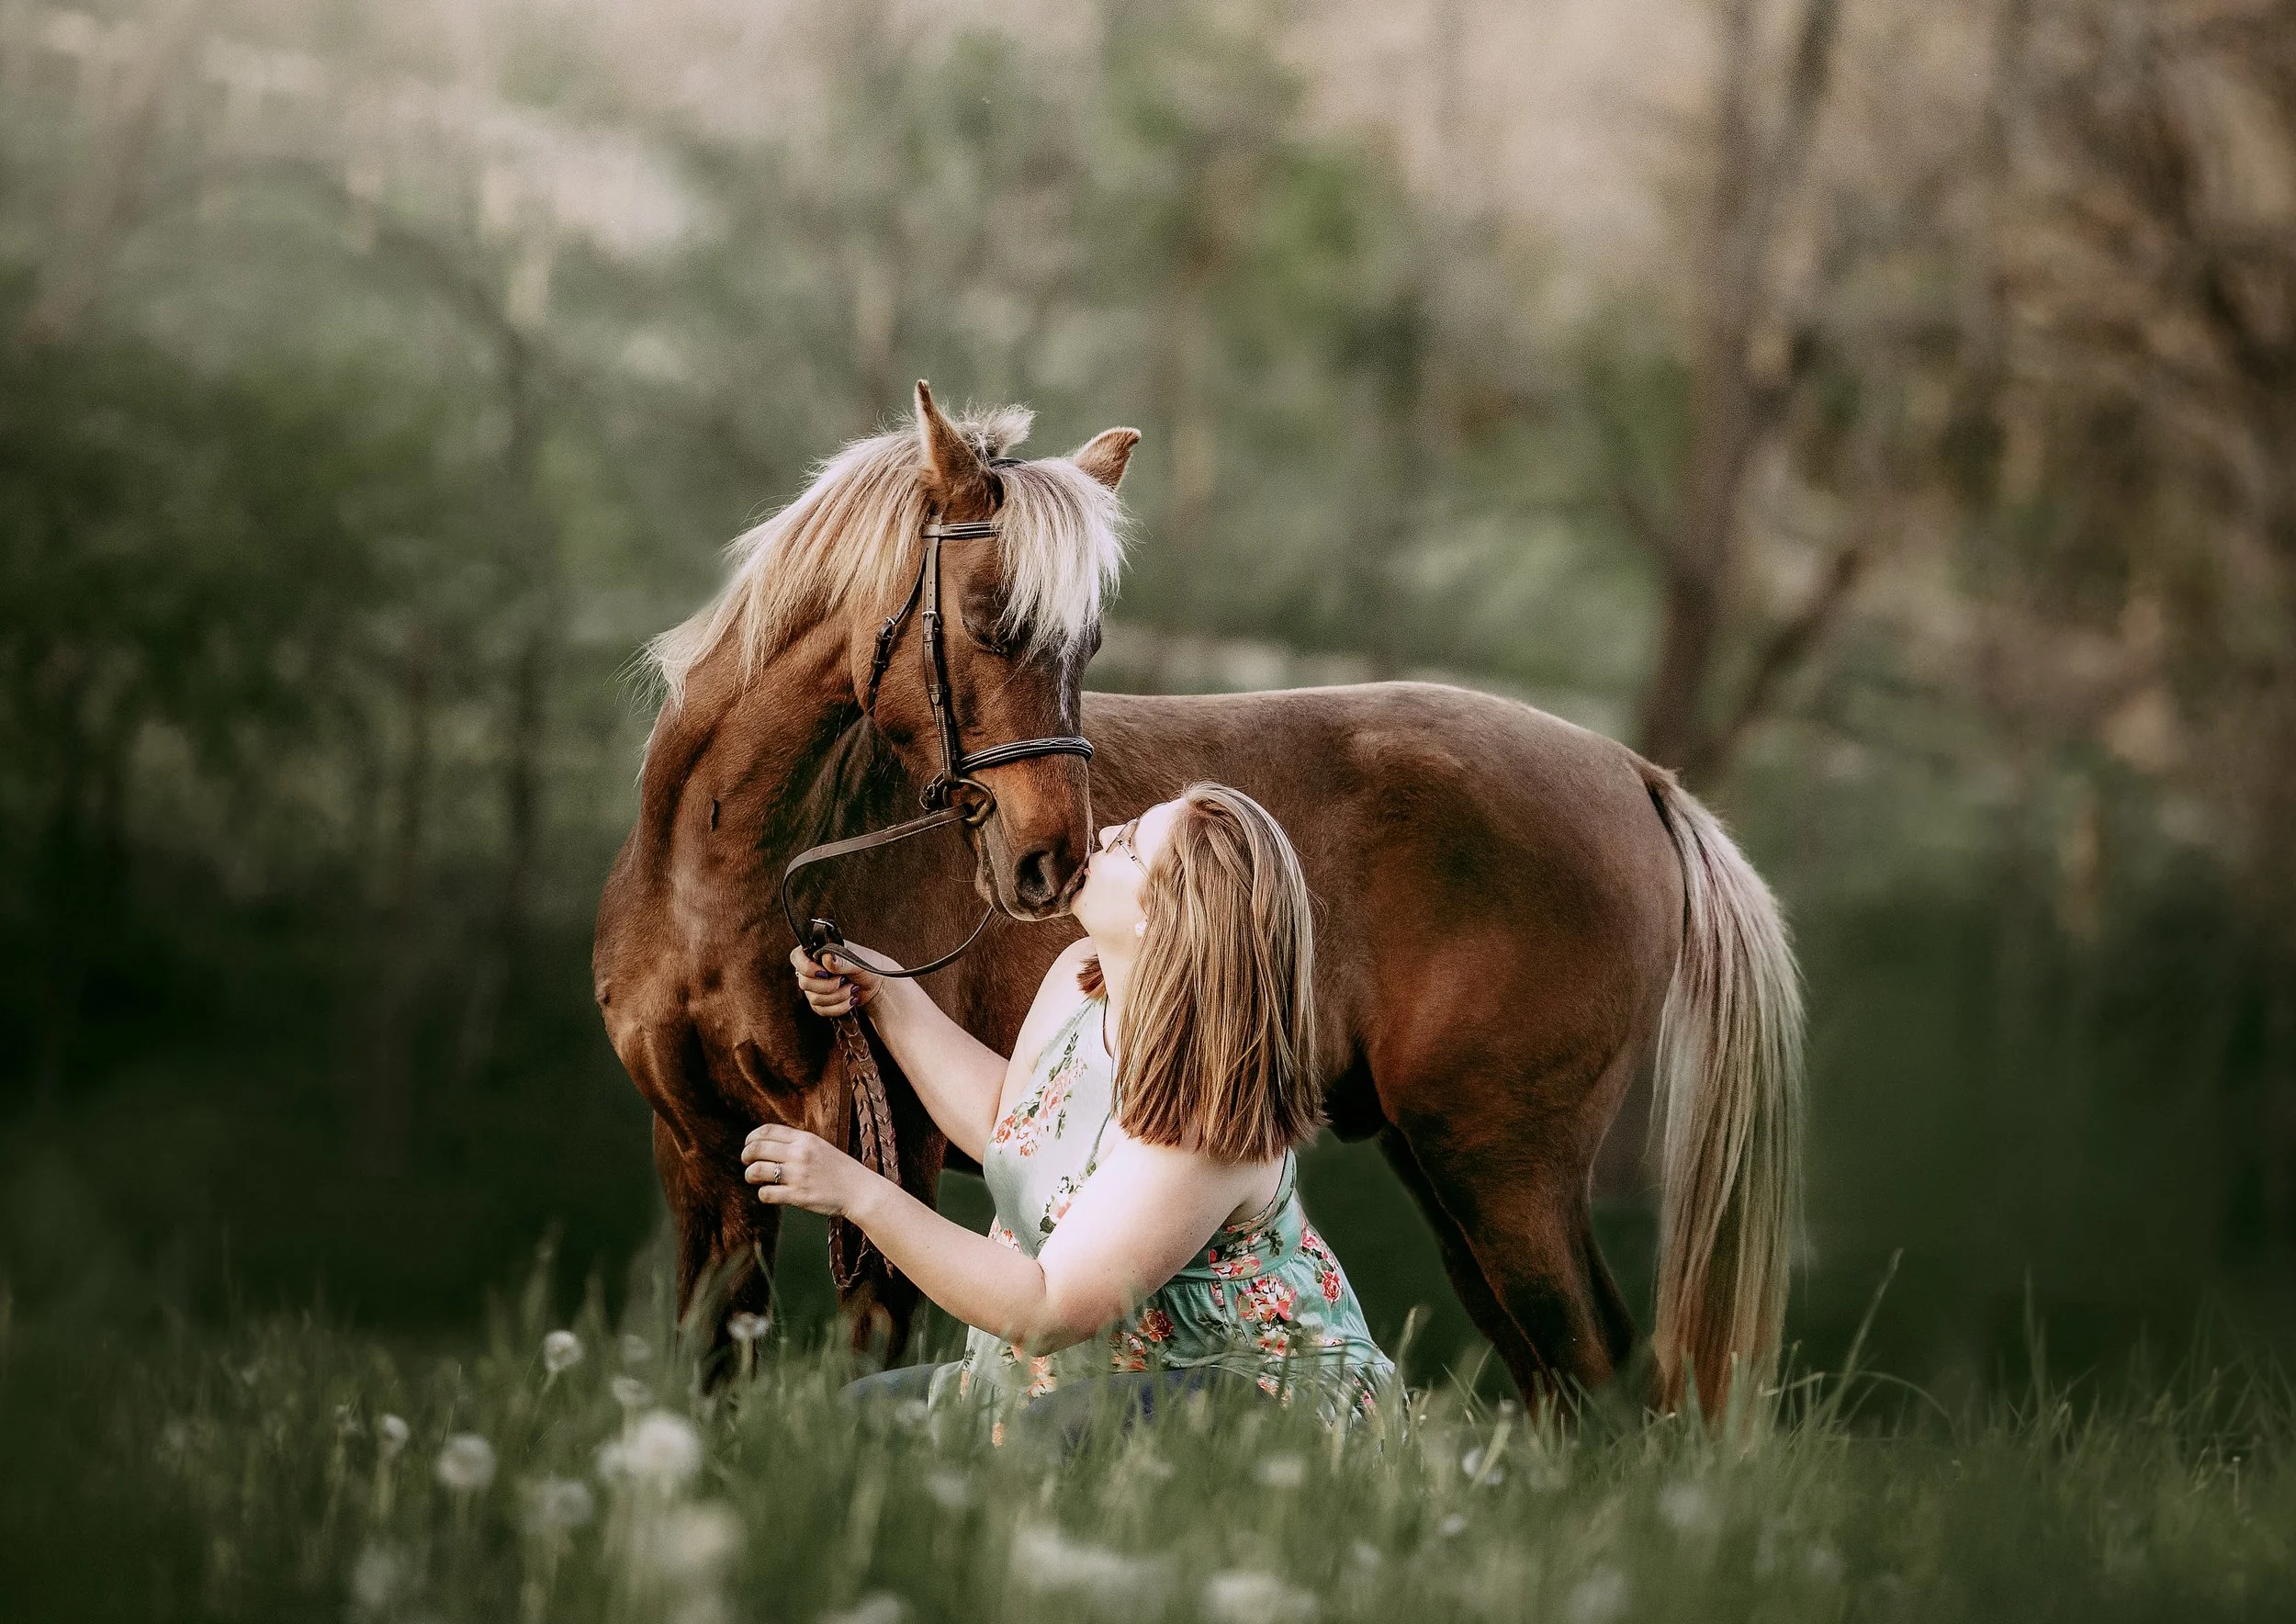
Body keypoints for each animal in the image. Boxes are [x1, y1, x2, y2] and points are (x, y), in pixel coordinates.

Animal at [592, 382, 1803, 1411]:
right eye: (988, 616)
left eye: (1085, 640)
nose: (1050, 860)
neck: (721, 875)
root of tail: (1634, 775)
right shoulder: (700, 1154)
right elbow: (711, 1370)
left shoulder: (883, 1157)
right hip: (1453, 1172)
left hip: (1503, 1168)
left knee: (1598, 1369)